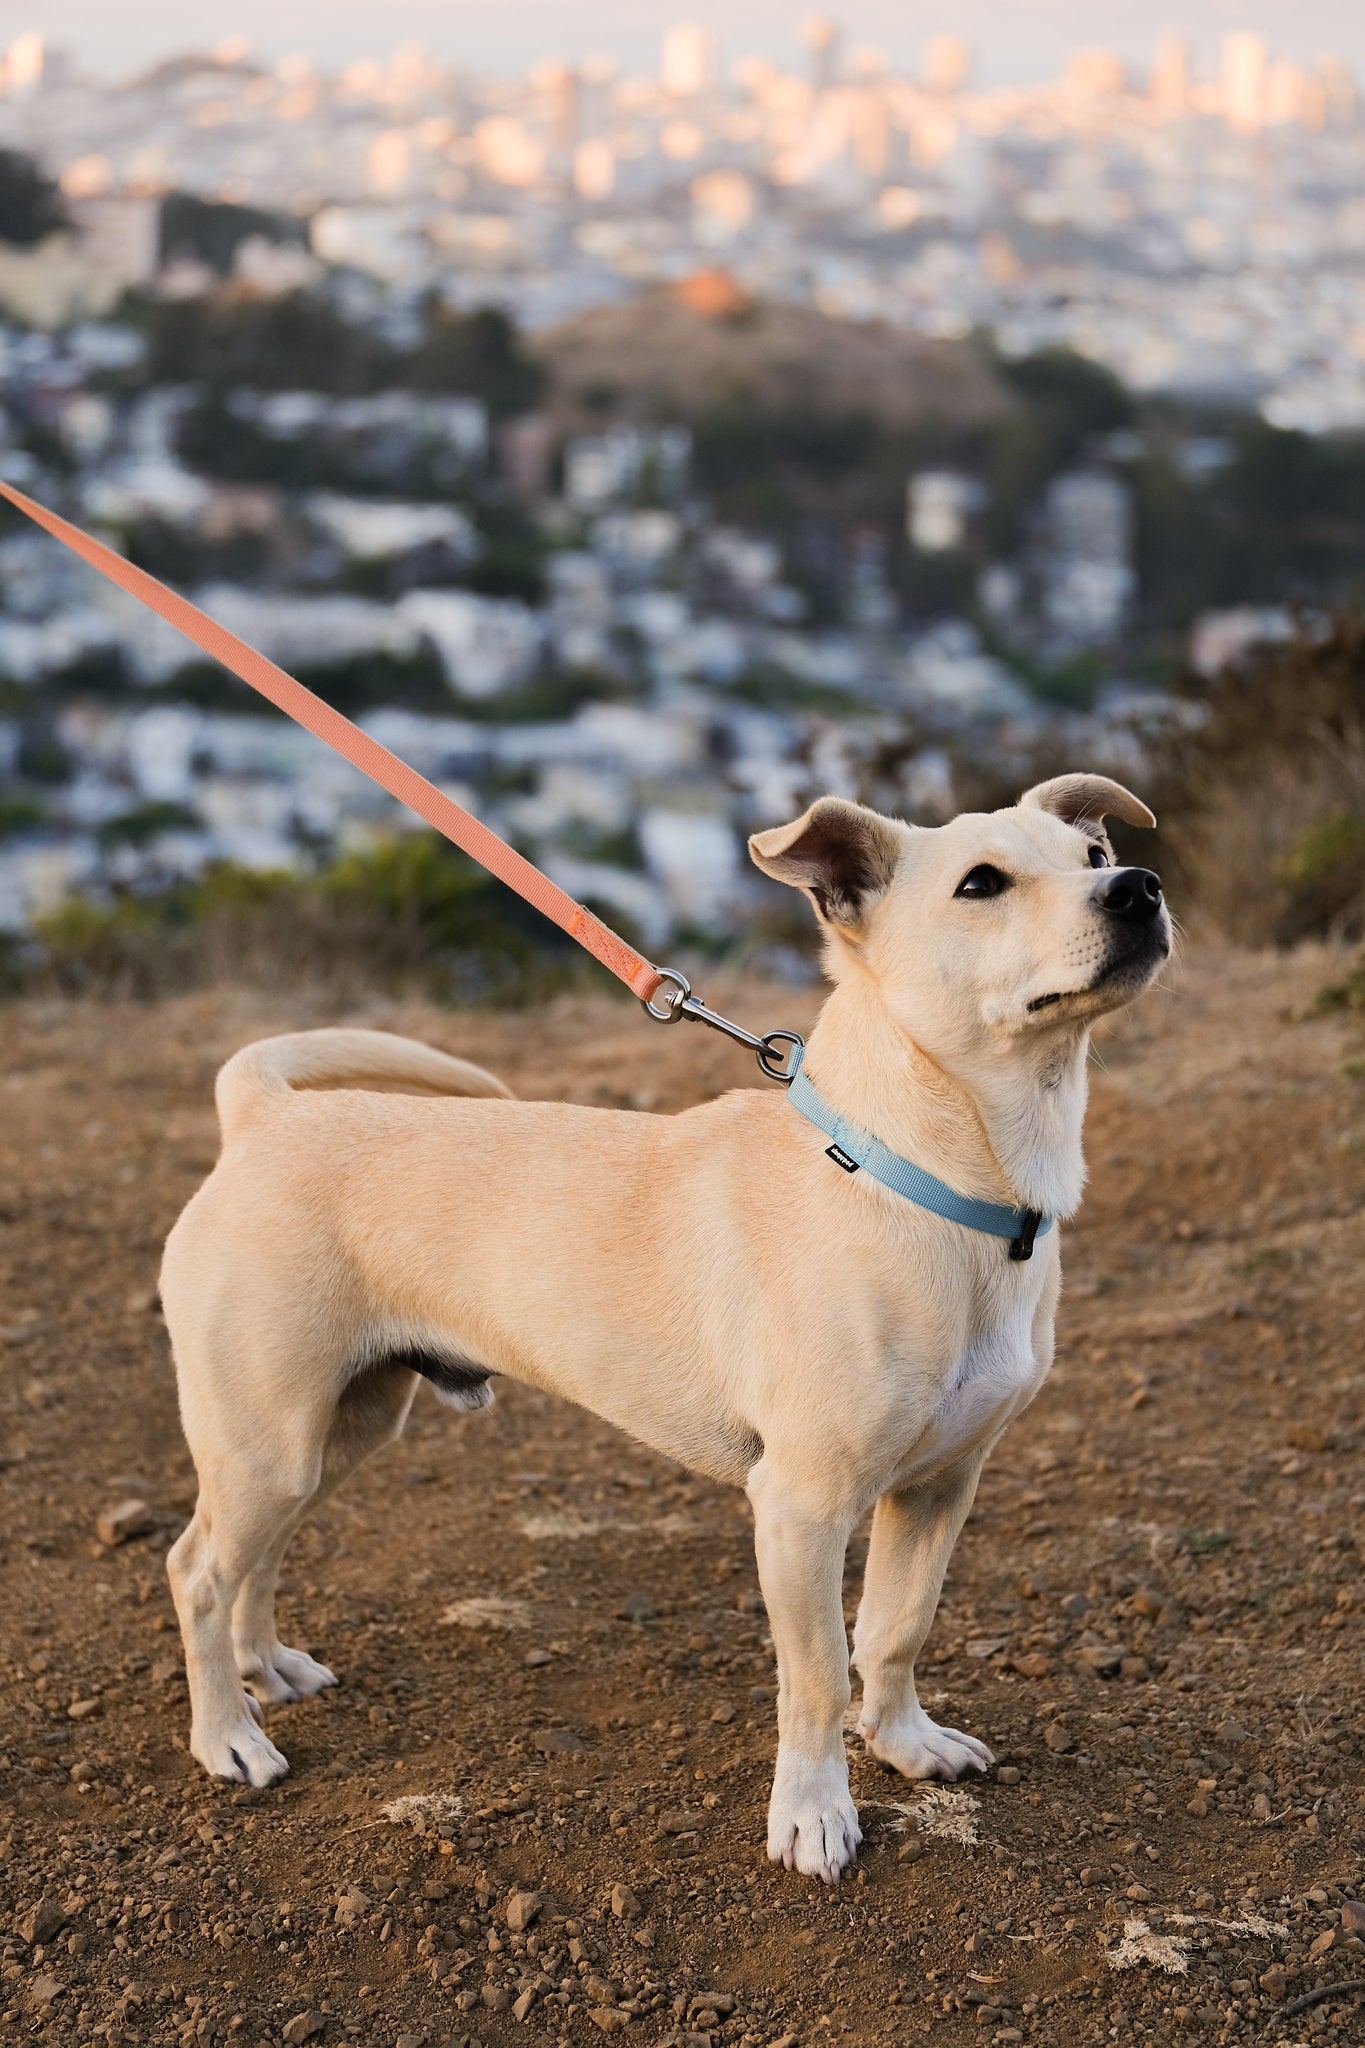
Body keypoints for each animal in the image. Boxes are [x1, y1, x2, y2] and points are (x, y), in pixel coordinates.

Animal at [160, 774, 1170, 1875]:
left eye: (1091, 853)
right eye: (980, 883)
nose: (1138, 886)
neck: (926, 1179)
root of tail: (262, 1116)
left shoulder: (940, 1486)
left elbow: (897, 1628)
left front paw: (906, 1743)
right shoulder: (801, 1507)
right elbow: (818, 1673)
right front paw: (813, 1814)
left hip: (333, 1433)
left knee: (254, 1558)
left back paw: (266, 1669)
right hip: (268, 1440)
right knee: (197, 1569)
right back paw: (228, 1737)